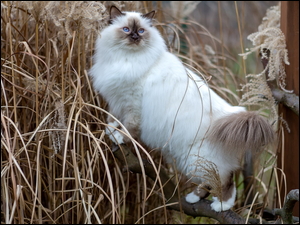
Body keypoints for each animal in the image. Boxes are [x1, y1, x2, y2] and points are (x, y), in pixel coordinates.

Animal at [88, 6, 276, 212]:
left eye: (142, 31)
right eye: (126, 30)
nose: (135, 37)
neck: (127, 59)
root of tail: (232, 114)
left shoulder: (133, 103)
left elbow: (129, 127)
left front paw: (119, 137)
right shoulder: (118, 100)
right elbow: (113, 119)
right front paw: (110, 130)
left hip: (198, 159)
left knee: (225, 181)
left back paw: (220, 206)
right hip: (185, 159)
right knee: (211, 183)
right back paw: (193, 198)